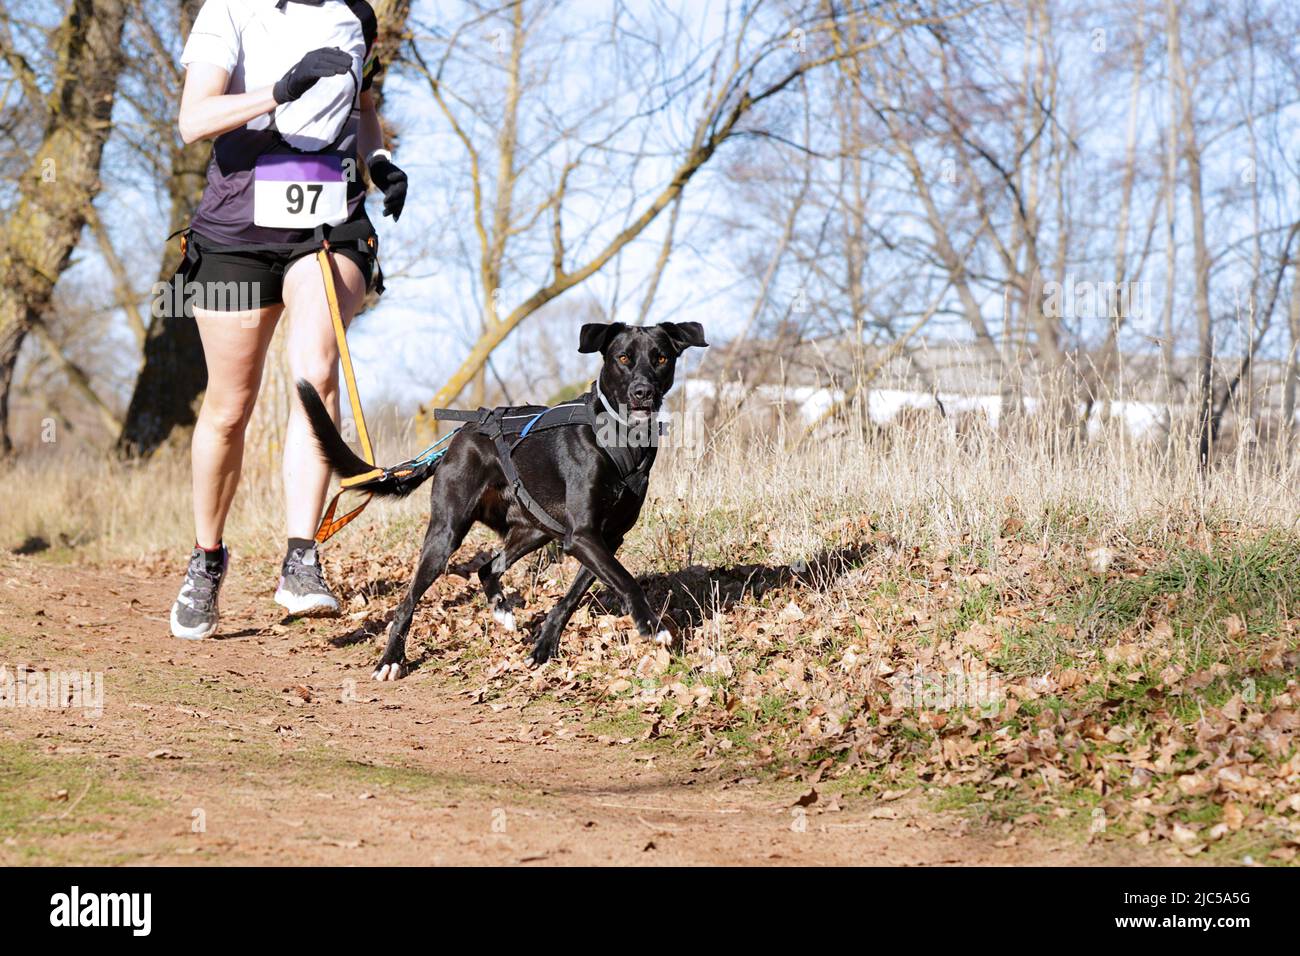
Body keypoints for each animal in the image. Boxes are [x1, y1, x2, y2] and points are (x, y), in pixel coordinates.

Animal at [297, 321, 707, 681]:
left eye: (661, 358)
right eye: (623, 358)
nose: (643, 392)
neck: (621, 441)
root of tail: (458, 437)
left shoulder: (605, 539)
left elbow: (573, 597)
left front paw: (544, 647)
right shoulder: (584, 536)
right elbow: (626, 580)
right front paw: (652, 625)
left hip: (534, 529)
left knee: (486, 568)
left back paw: (502, 613)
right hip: (447, 533)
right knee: (408, 601)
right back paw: (391, 660)